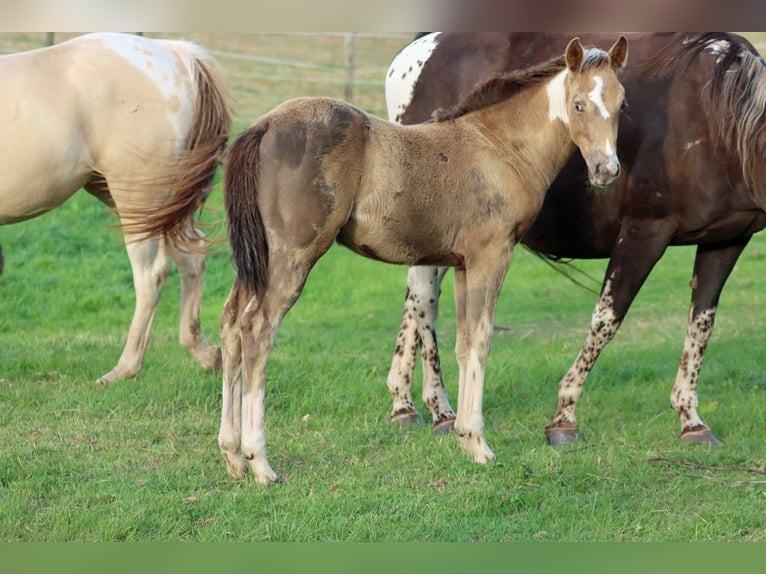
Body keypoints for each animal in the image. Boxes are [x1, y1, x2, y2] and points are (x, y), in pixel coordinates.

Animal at [0, 33, 231, 385]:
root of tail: (174, 54)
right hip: (150, 205)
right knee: (192, 256)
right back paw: (205, 355)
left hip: (138, 199)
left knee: (151, 276)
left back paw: (123, 369)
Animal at [132, 36, 628, 482]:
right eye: (579, 104)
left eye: (621, 104)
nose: (607, 171)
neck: (500, 146)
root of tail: (264, 125)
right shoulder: (492, 255)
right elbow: (483, 340)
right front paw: (480, 445)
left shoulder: (464, 263)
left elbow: (464, 342)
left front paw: (465, 439)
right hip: (293, 257)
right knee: (257, 332)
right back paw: (260, 463)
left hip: (258, 260)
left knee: (232, 324)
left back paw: (232, 456)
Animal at [384, 32, 766, 446]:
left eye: (623, 105)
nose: (605, 170)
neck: (718, 119)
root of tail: (415, 52)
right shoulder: (644, 233)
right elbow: (606, 319)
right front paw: (564, 418)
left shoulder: (726, 241)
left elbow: (701, 325)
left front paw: (691, 420)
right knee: (424, 302)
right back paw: (439, 411)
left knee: (416, 300)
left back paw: (405, 405)